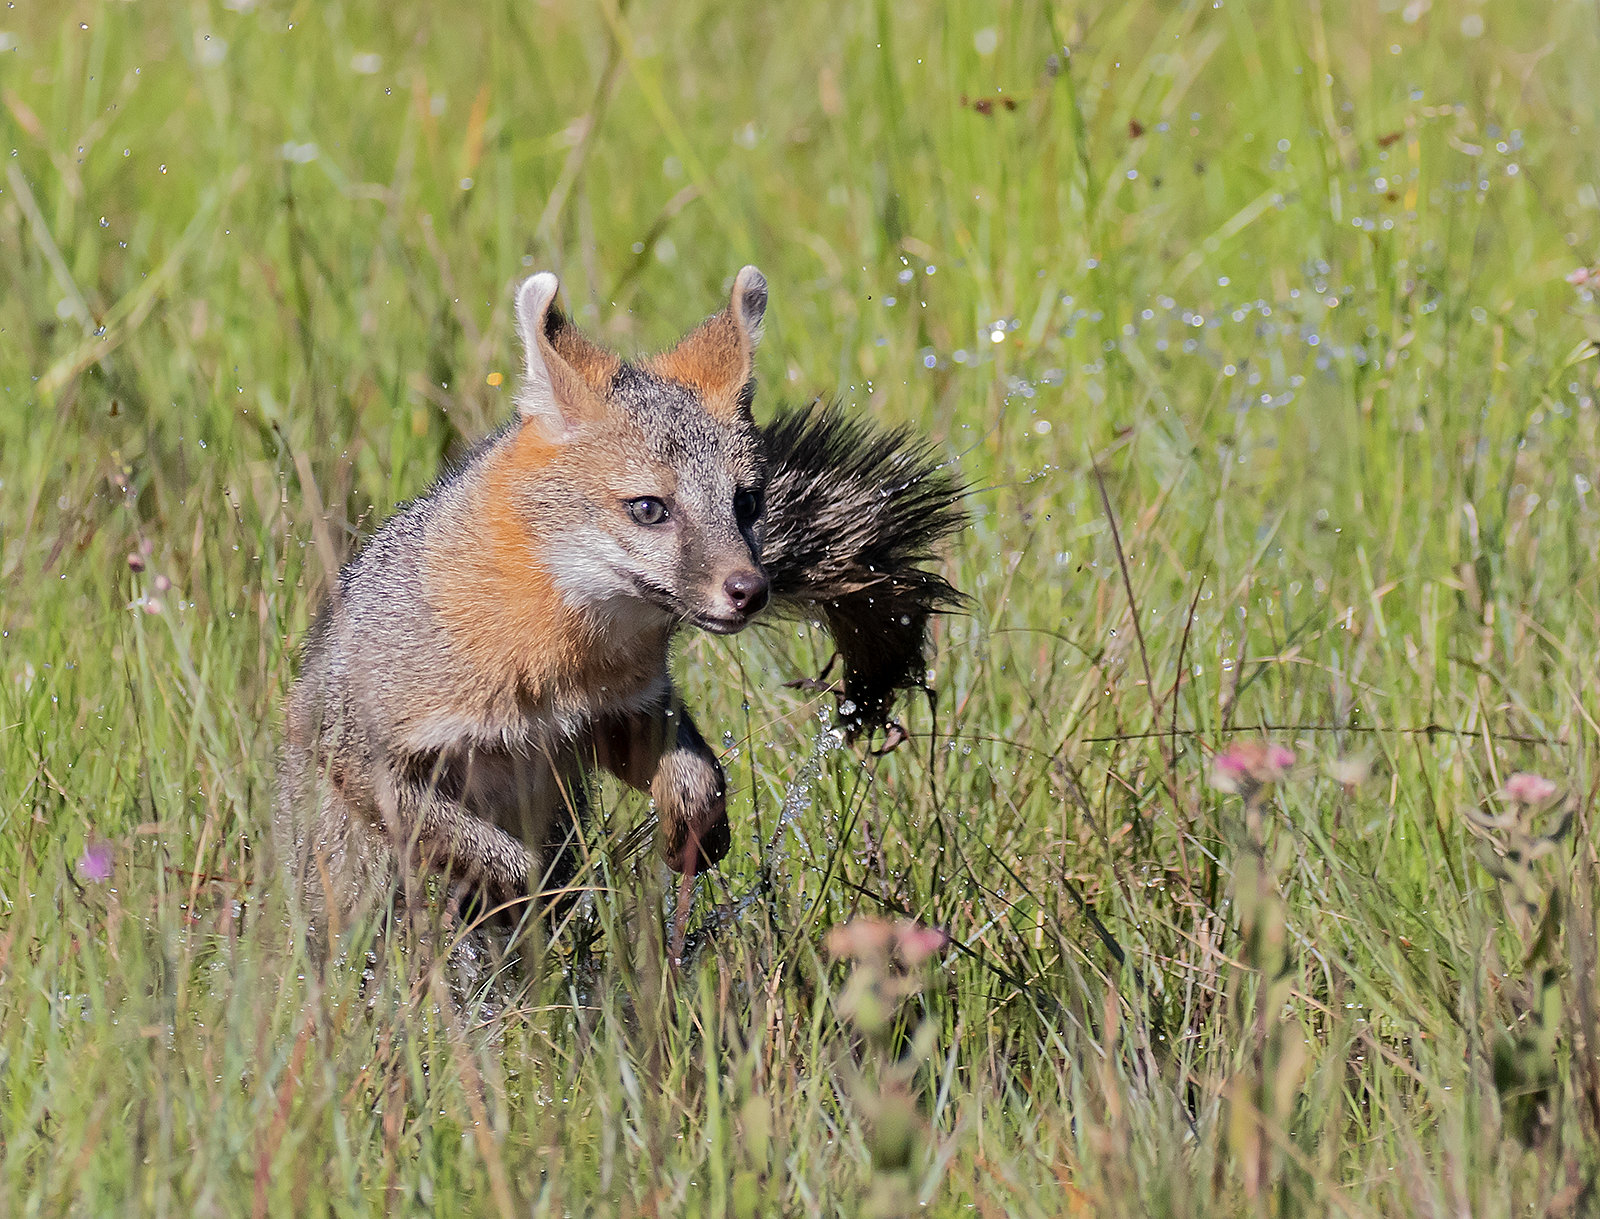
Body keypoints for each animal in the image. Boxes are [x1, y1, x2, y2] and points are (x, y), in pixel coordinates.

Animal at [275, 266, 965, 940]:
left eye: (746, 503)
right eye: (650, 509)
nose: (750, 590)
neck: (550, 662)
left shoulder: (620, 713)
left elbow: (698, 779)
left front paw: (693, 833)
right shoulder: (366, 757)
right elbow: (506, 861)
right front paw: (525, 900)